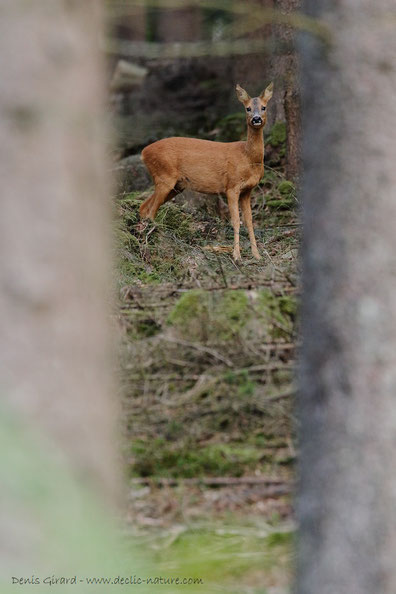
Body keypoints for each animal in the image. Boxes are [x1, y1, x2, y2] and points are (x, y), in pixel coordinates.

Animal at [138, 81, 272, 260]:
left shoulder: (247, 190)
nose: (256, 119)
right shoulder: (231, 186)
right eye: (247, 108)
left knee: (144, 207)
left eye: (264, 107)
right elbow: (236, 221)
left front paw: (257, 255)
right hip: (164, 175)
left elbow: (249, 221)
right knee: (151, 211)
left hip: (175, 185)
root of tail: (144, 153)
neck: (248, 158)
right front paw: (236, 255)